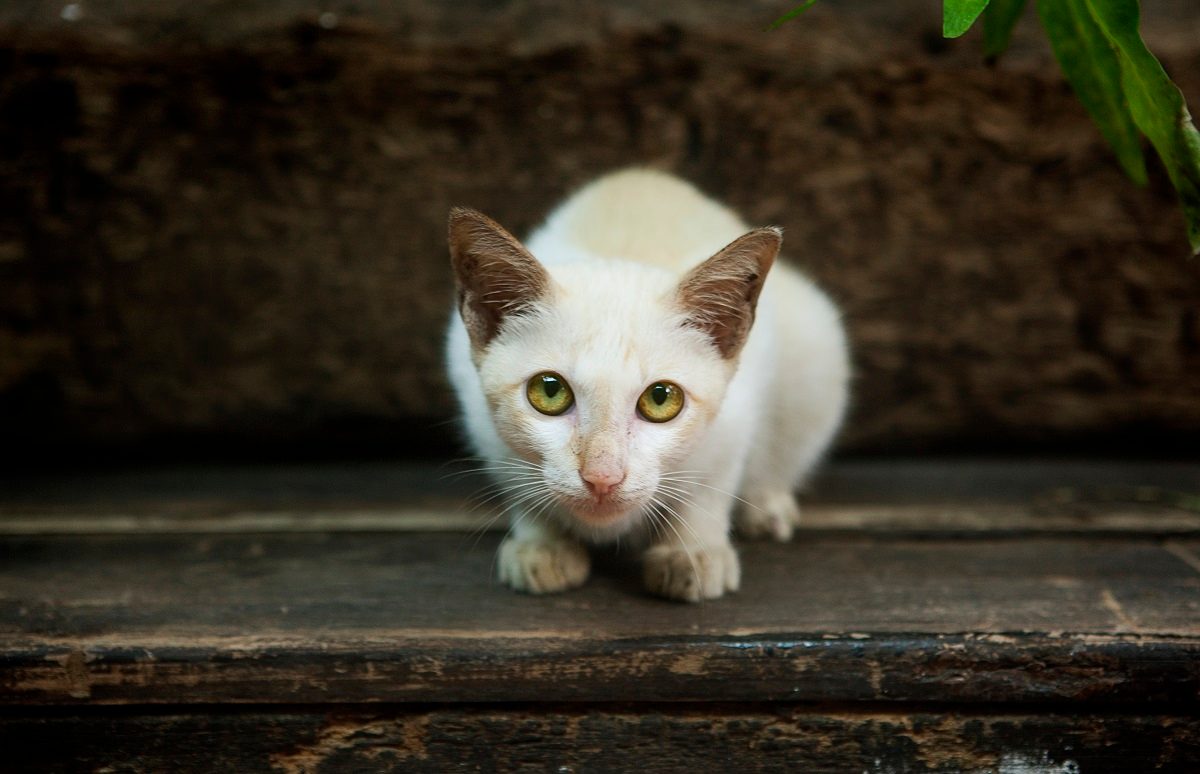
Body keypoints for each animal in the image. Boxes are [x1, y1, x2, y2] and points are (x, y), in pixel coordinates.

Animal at [446, 168, 849, 604]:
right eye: (549, 391)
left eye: (661, 399)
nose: (602, 478)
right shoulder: (479, 415)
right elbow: (518, 482)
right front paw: (542, 544)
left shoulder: (738, 415)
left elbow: (711, 486)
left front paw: (692, 553)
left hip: (816, 349)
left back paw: (766, 504)